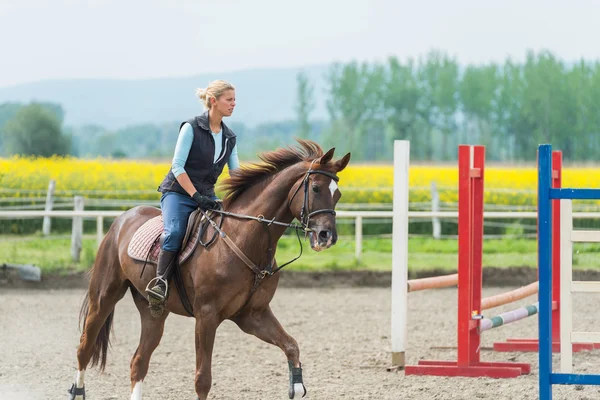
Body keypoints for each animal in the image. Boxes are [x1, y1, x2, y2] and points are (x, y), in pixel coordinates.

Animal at [68, 139, 352, 398]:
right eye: (315, 188)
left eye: (337, 194)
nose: (327, 236)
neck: (243, 238)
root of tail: (122, 219)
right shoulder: (206, 316)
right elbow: (202, 379)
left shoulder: (253, 315)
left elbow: (291, 346)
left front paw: (296, 385)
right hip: (104, 298)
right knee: (84, 348)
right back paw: (76, 389)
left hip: (154, 312)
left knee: (139, 361)